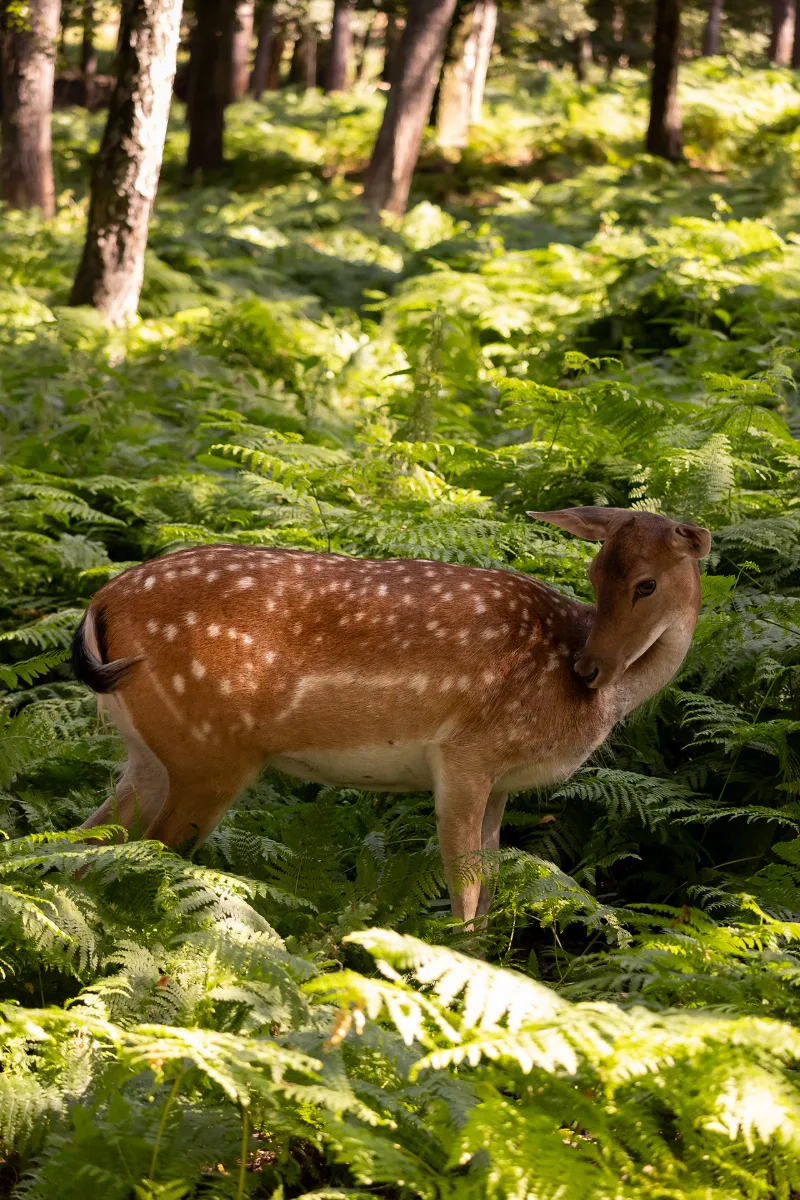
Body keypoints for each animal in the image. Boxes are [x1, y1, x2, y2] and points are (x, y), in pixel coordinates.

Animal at [71, 506, 711, 925]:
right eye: (597, 575)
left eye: (645, 583)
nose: (591, 668)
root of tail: (99, 605)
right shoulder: (466, 753)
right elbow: (466, 895)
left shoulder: (502, 781)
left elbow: (490, 887)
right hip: (210, 749)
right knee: (148, 852)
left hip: (152, 751)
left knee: (84, 843)